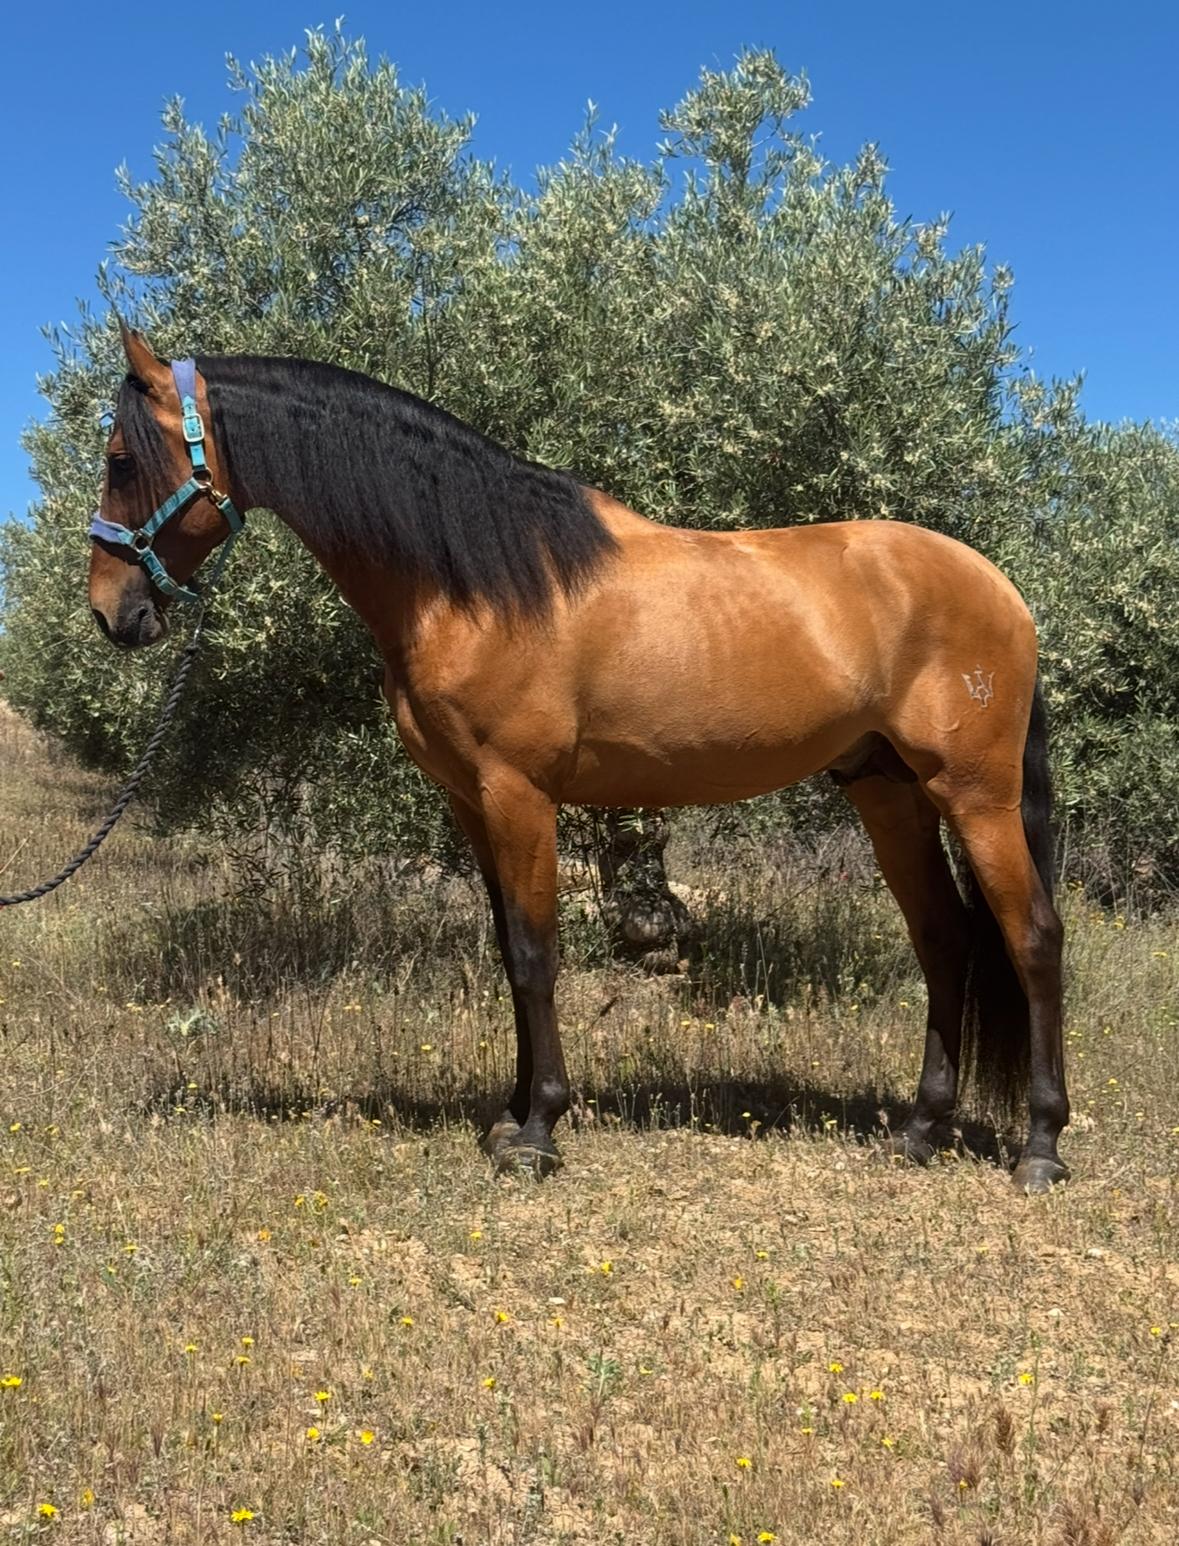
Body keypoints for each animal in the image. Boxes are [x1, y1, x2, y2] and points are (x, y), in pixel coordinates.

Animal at [88, 324, 1070, 1192]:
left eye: (122, 460)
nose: (111, 612)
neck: (476, 580)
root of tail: (1002, 590)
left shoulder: (518, 793)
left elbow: (534, 953)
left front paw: (538, 1132)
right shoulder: (468, 801)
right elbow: (505, 949)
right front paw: (508, 1114)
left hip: (974, 795)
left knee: (1031, 937)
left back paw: (1040, 1147)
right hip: (887, 793)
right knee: (943, 938)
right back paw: (920, 1129)